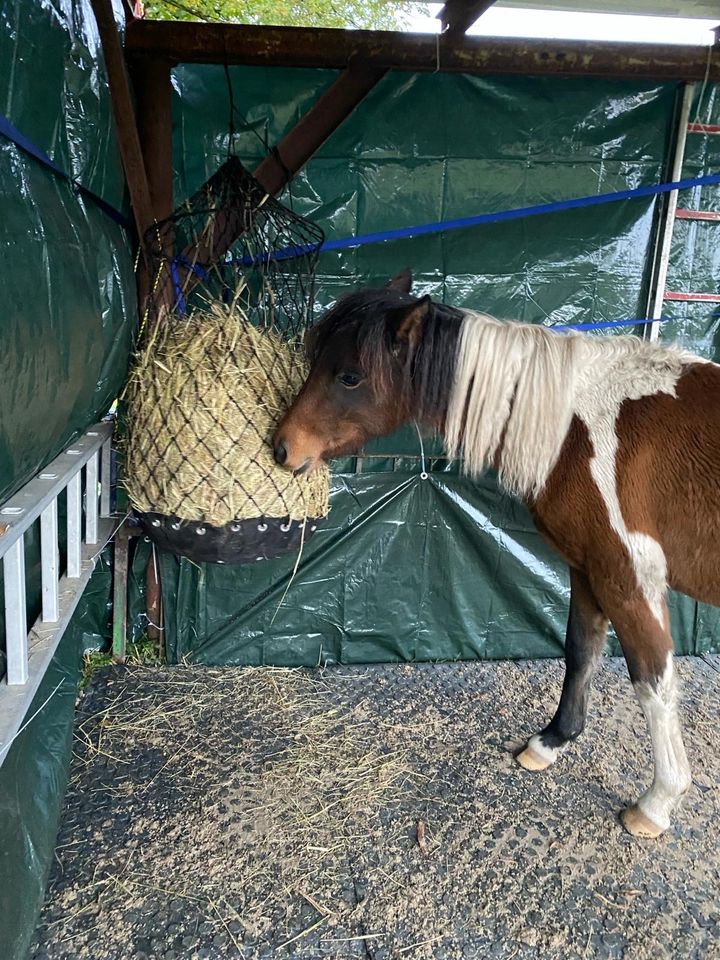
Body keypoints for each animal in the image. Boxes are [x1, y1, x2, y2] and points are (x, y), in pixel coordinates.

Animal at [272, 268, 720, 832]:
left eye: (349, 376)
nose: (281, 448)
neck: (577, 422)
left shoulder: (628, 580)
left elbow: (653, 683)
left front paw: (659, 802)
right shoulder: (588, 568)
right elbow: (581, 651)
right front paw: (550, 743)